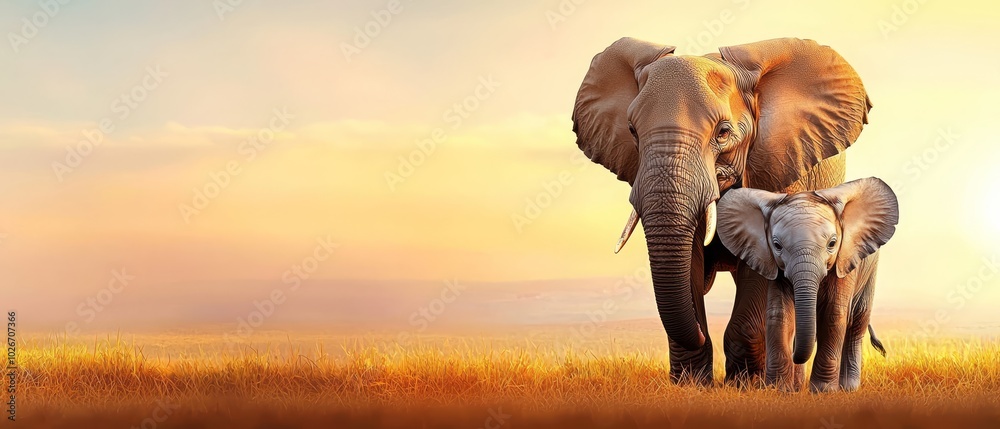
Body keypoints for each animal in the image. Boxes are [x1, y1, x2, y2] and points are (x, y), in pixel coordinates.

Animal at [571, 37, 872, 384]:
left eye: (723, 133)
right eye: (632, 131)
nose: (701, 333)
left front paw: (746, 385)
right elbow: (689, 258)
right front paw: (691, 384)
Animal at [716, 177, 899, 392]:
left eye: (832, 244)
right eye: (777, 245)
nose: (796, 356)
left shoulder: (844, 259)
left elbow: (833, 313)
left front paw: (822, 391)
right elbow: (780, 314)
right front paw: (778, 389)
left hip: (869, 269)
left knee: (857, 321)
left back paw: (848, 388)